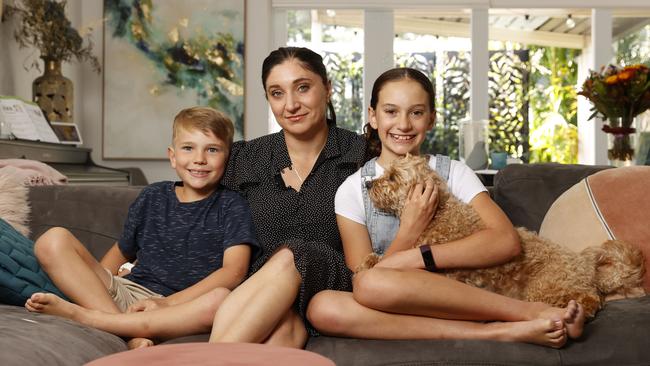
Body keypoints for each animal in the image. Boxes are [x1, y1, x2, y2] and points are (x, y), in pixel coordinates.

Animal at [360, 154, 644, 318]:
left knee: (591, 299)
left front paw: (371, 263)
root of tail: (584, 264)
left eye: (393, 177)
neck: (438, 214)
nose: (368, 183)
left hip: (545, 288)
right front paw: (369, 260)